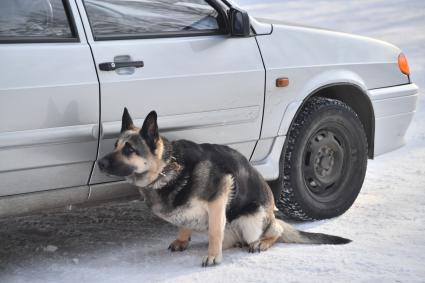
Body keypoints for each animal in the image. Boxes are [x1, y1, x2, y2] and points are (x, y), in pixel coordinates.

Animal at [97, 108, 350, 266]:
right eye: (115, 145)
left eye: (129, 149)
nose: (99, 163)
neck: (168, 167)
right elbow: (184, 221)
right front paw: (182, 238)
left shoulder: (219, 195)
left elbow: (214, 232)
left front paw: (213, 257)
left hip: (253, 219)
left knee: (276, 230)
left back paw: (262, 242)